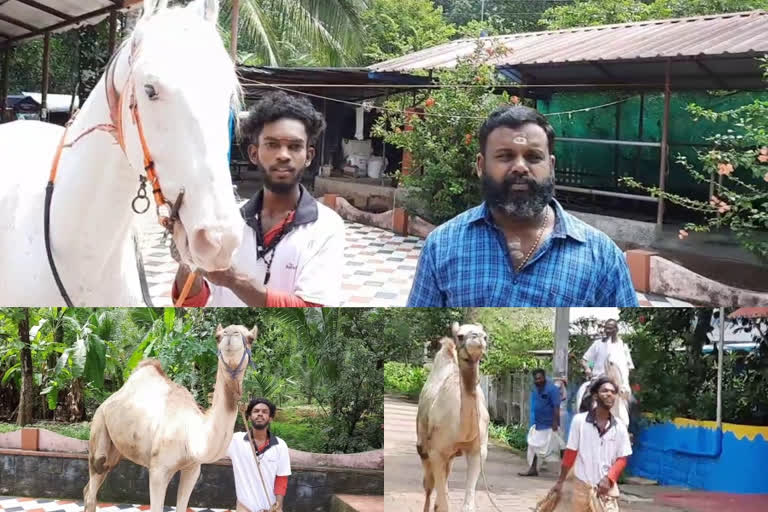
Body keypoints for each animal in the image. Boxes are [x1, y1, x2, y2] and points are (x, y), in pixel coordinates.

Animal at [83, 324, 256, 512]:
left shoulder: (193, 469)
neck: (191, 433)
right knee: (93, 484)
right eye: (217, 337)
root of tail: (108, 400)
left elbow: (182, 506)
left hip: (116, 450)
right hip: (99, 429)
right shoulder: (158, 469)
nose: (230, 333)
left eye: (251, 338)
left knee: (89, 488)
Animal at [416, 322, 488, 512]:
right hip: (423, 447)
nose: (478, 338)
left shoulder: (478, 450)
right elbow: (443, 504)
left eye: (486, 335)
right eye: (460, 336)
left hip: (450, 456)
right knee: (428, 486)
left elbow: (468, 505)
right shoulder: (436, 451)